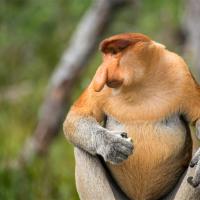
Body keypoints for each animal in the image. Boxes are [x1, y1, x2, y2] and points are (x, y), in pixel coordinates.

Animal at [63, 33, 200, 200]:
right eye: (106, 55)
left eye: (114, 52)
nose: (102, 72)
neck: (140, 82)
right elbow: (77, 116)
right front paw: (112, 144)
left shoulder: (181, 71)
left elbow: (198, 117)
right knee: (82, 151)